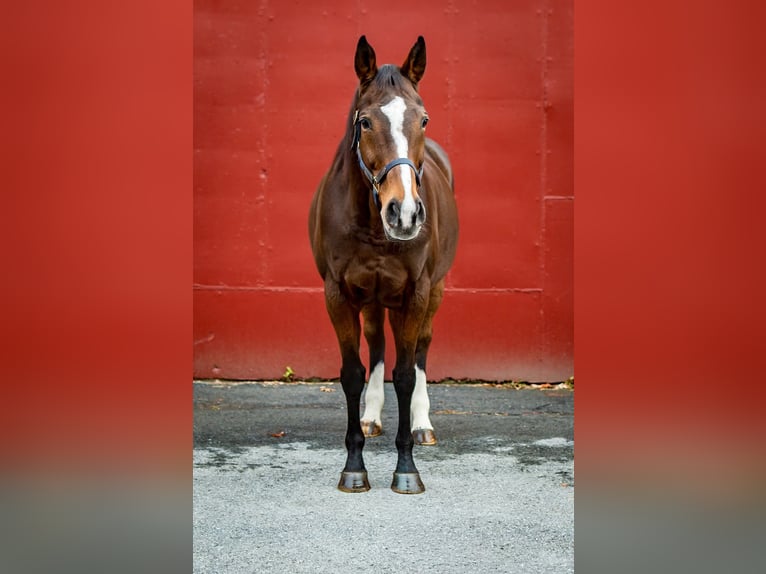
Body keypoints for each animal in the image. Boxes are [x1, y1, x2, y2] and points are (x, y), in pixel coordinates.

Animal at [309, 35, 458, 494]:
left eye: (423, 119)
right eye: (366, 122)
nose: (404, 214)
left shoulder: (416, 293)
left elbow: (407, 373)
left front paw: (407, 469)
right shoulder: (338, 295)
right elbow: (353, 373)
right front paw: (354, 467)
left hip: (433, 293)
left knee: (422, 349)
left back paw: (422, 425)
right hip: (373, 299)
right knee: (376, 346)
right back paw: (371, 417)